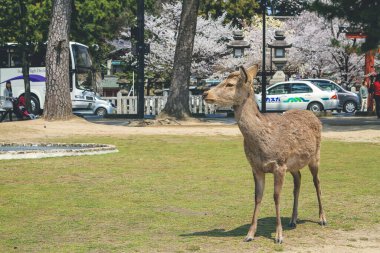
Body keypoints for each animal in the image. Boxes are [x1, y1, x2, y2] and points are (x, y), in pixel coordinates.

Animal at [203, 64, 326, 243]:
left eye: (230, 84)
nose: (205, 93)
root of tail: (314, 115)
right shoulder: (256, 167)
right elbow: (257, 197)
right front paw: (249, 234)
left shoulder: (279, 164)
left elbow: (276, 196)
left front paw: (279, 236)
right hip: (293, 165)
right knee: (298, 181)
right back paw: (293, 220)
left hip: (315, 156)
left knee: (317, 182)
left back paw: (322, 218)